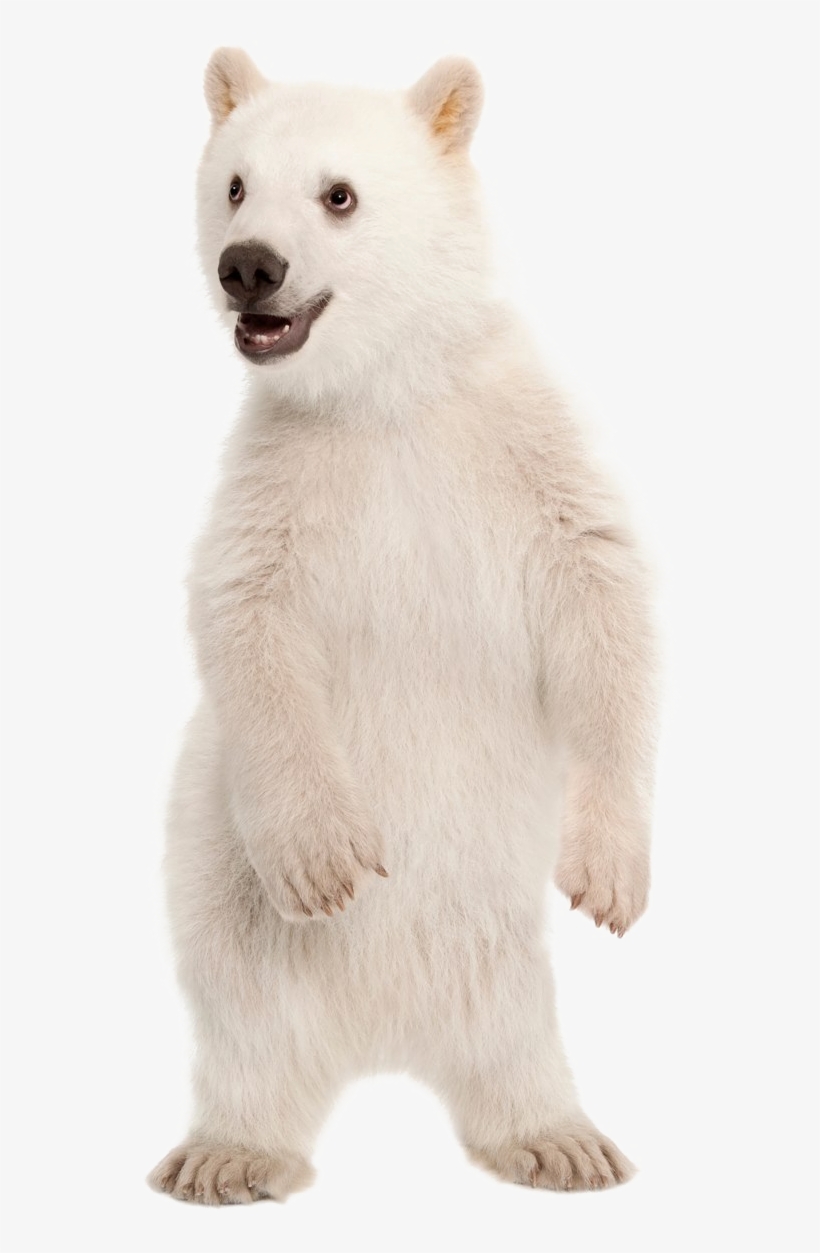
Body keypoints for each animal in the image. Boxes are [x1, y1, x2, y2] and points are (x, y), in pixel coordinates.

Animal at [148, 47, 657, 1204]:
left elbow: (600, 587)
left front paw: (610, 871)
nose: (248, 268)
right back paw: (229, 1153)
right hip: (225, 893)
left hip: (496, 959)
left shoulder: (514, 439)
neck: (382, 394)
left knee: (516, 1036)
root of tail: (381, 1043)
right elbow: (245, 618)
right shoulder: (283, 471)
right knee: (247, 1023)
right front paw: (326, 859)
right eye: (234, 185)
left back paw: (557, 1140)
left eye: (338, 194)